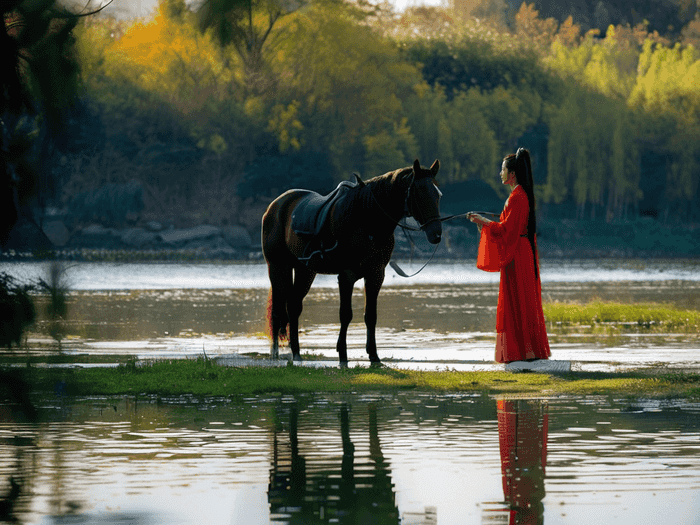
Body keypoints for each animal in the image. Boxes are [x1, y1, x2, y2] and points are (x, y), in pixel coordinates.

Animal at [262, 160, 442, 364]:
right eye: (419, 191)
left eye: (438, 194)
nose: (436, 234)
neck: (366, 220)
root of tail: (275, 205)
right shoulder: (346, 275)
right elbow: (345, 314)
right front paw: (342, 354)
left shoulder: (375, 274)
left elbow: (370, 315)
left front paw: (374, 355)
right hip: (278, 267)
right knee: (277, 312)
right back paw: (276, 353)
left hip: (305, 270)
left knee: (293, 306)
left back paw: (296, 353)